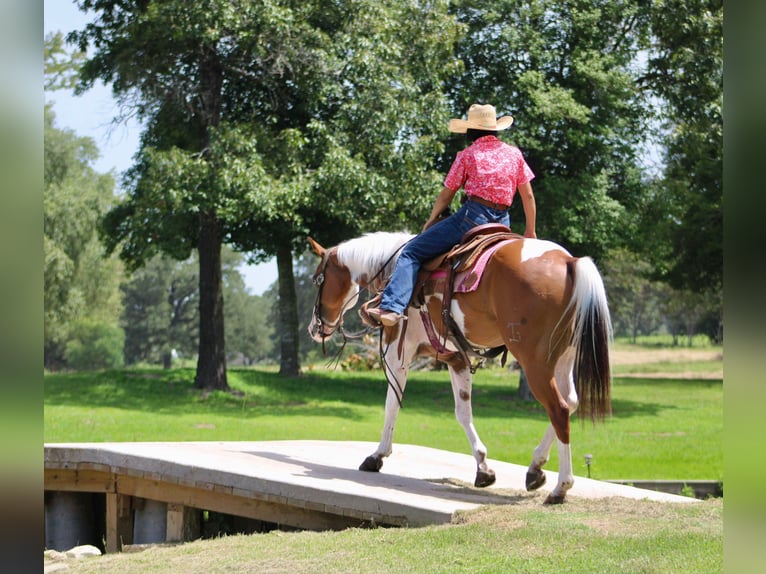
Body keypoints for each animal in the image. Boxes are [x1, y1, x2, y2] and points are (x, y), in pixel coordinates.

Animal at [307, 230, 612, 504]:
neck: (393, 267)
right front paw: (483, 468)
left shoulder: (397, 351)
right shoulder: (454, 358)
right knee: (570, 402)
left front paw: (377, 456)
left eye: (318, 279)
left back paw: (561, 487)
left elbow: (392, 404)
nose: (314, 328)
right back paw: (535, 469)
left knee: (558, 408)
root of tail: (568, 261)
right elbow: (463, 412)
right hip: (562, 358)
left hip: (534, 362)